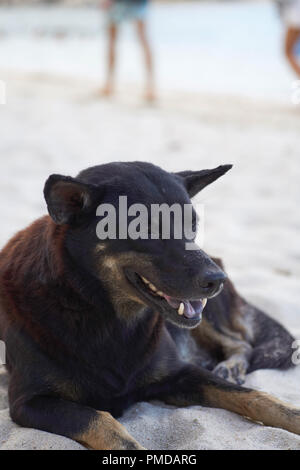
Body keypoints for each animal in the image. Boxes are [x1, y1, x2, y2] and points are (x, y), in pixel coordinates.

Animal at [0, 162, 298, 452]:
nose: (217, 280)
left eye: (193, 224)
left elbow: (258, 397)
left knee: (239, 341)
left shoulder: (182, 373)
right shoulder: (31, 402)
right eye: (144, 228)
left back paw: (231, 366)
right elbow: (104, 423)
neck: (108, 317)